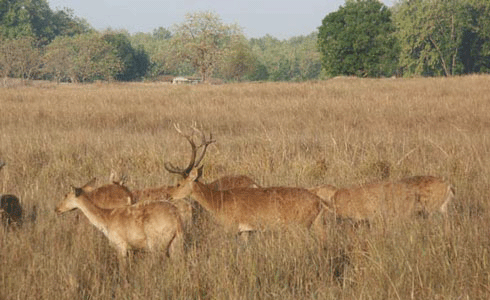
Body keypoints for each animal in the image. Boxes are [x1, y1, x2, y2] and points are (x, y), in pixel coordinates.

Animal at [54, 182, 184, 266]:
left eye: (66, 195)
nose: (57, 209)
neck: (107, 219)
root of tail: (176, 218)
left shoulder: (121, 245)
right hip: (175, 243)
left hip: (157, 244)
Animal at [166, 126, 330, 237]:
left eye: (179, 183)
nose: (169, 195)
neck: (218, 201)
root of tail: (319, 202)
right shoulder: (245, 230)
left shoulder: (231, 227)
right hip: (315, 224)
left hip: (301, 224)